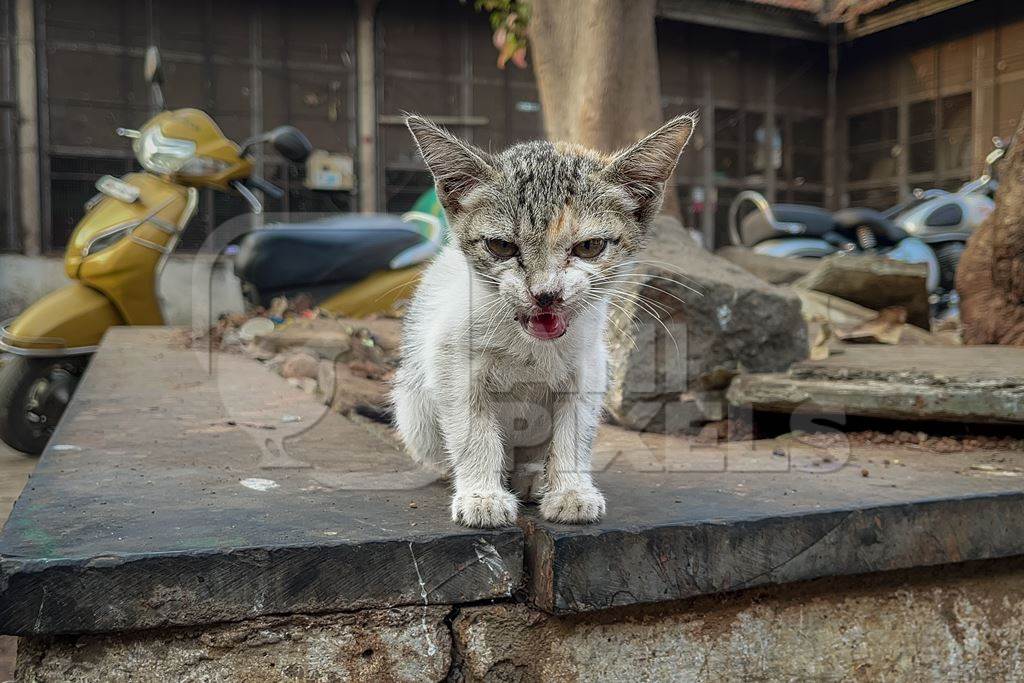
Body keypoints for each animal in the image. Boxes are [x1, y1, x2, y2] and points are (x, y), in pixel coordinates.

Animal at [391, 114, 696, 528]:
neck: (531, 343)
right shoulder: (450, 358)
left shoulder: (590, 365)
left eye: (589, 246)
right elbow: (473, 429)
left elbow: (575, 430)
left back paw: (533, 476)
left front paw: (570, 491)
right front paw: (482, 495)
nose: (546, 294)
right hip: (414, 410)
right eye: (501, 246)